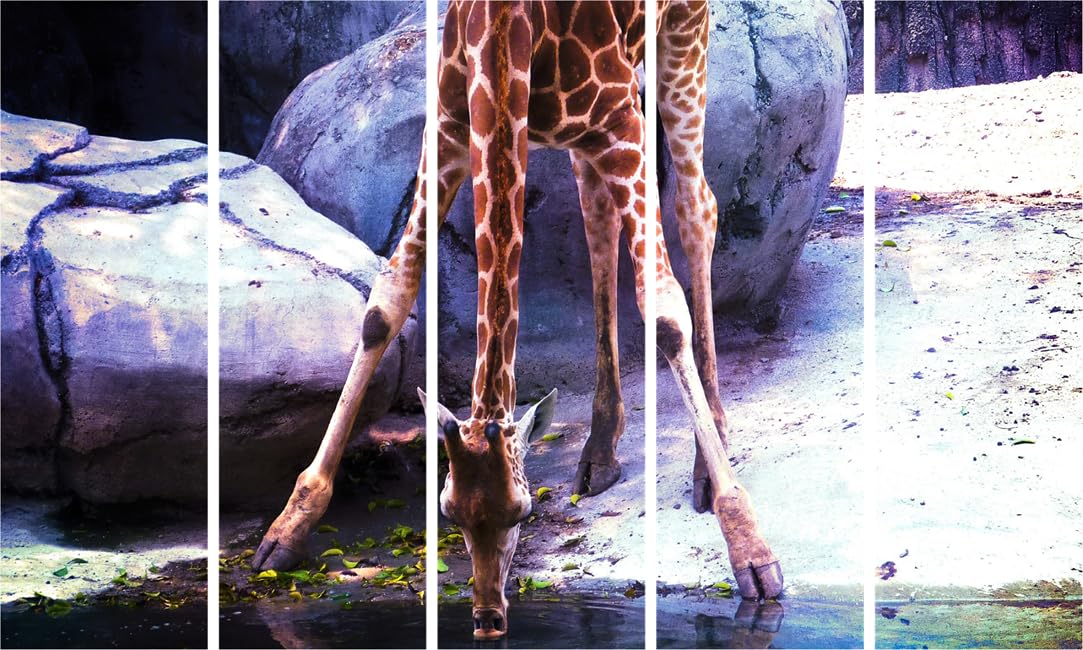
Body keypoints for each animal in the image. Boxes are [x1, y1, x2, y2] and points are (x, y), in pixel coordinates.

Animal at [252, 0, 783, 638]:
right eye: (448, 512)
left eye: (523, 512)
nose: (487, 617)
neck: (505, 28)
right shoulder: (450, 127)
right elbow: (386, 304)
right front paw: (286, 528)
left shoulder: (621, 125)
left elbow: (663, 313)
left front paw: (752, 552)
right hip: (587, 131)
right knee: (597, 213)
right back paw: (599, 451)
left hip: (683, 36)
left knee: (696, 204)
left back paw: (709, 461)